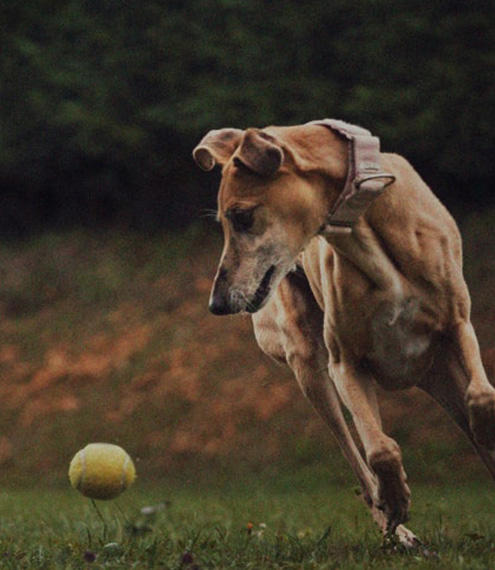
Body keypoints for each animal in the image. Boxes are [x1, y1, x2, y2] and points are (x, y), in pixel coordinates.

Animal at [193, 117, 495, 544]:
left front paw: (486, 428)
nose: (217, 304)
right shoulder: (346, 364)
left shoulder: (458, 326)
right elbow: (380, 450)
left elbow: (483, 395)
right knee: (356, 457)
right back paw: (395, 526)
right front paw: (396, 500)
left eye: (242, 216)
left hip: (441, 373)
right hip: (310, 367)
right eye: (224, 221)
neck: (368, 226)